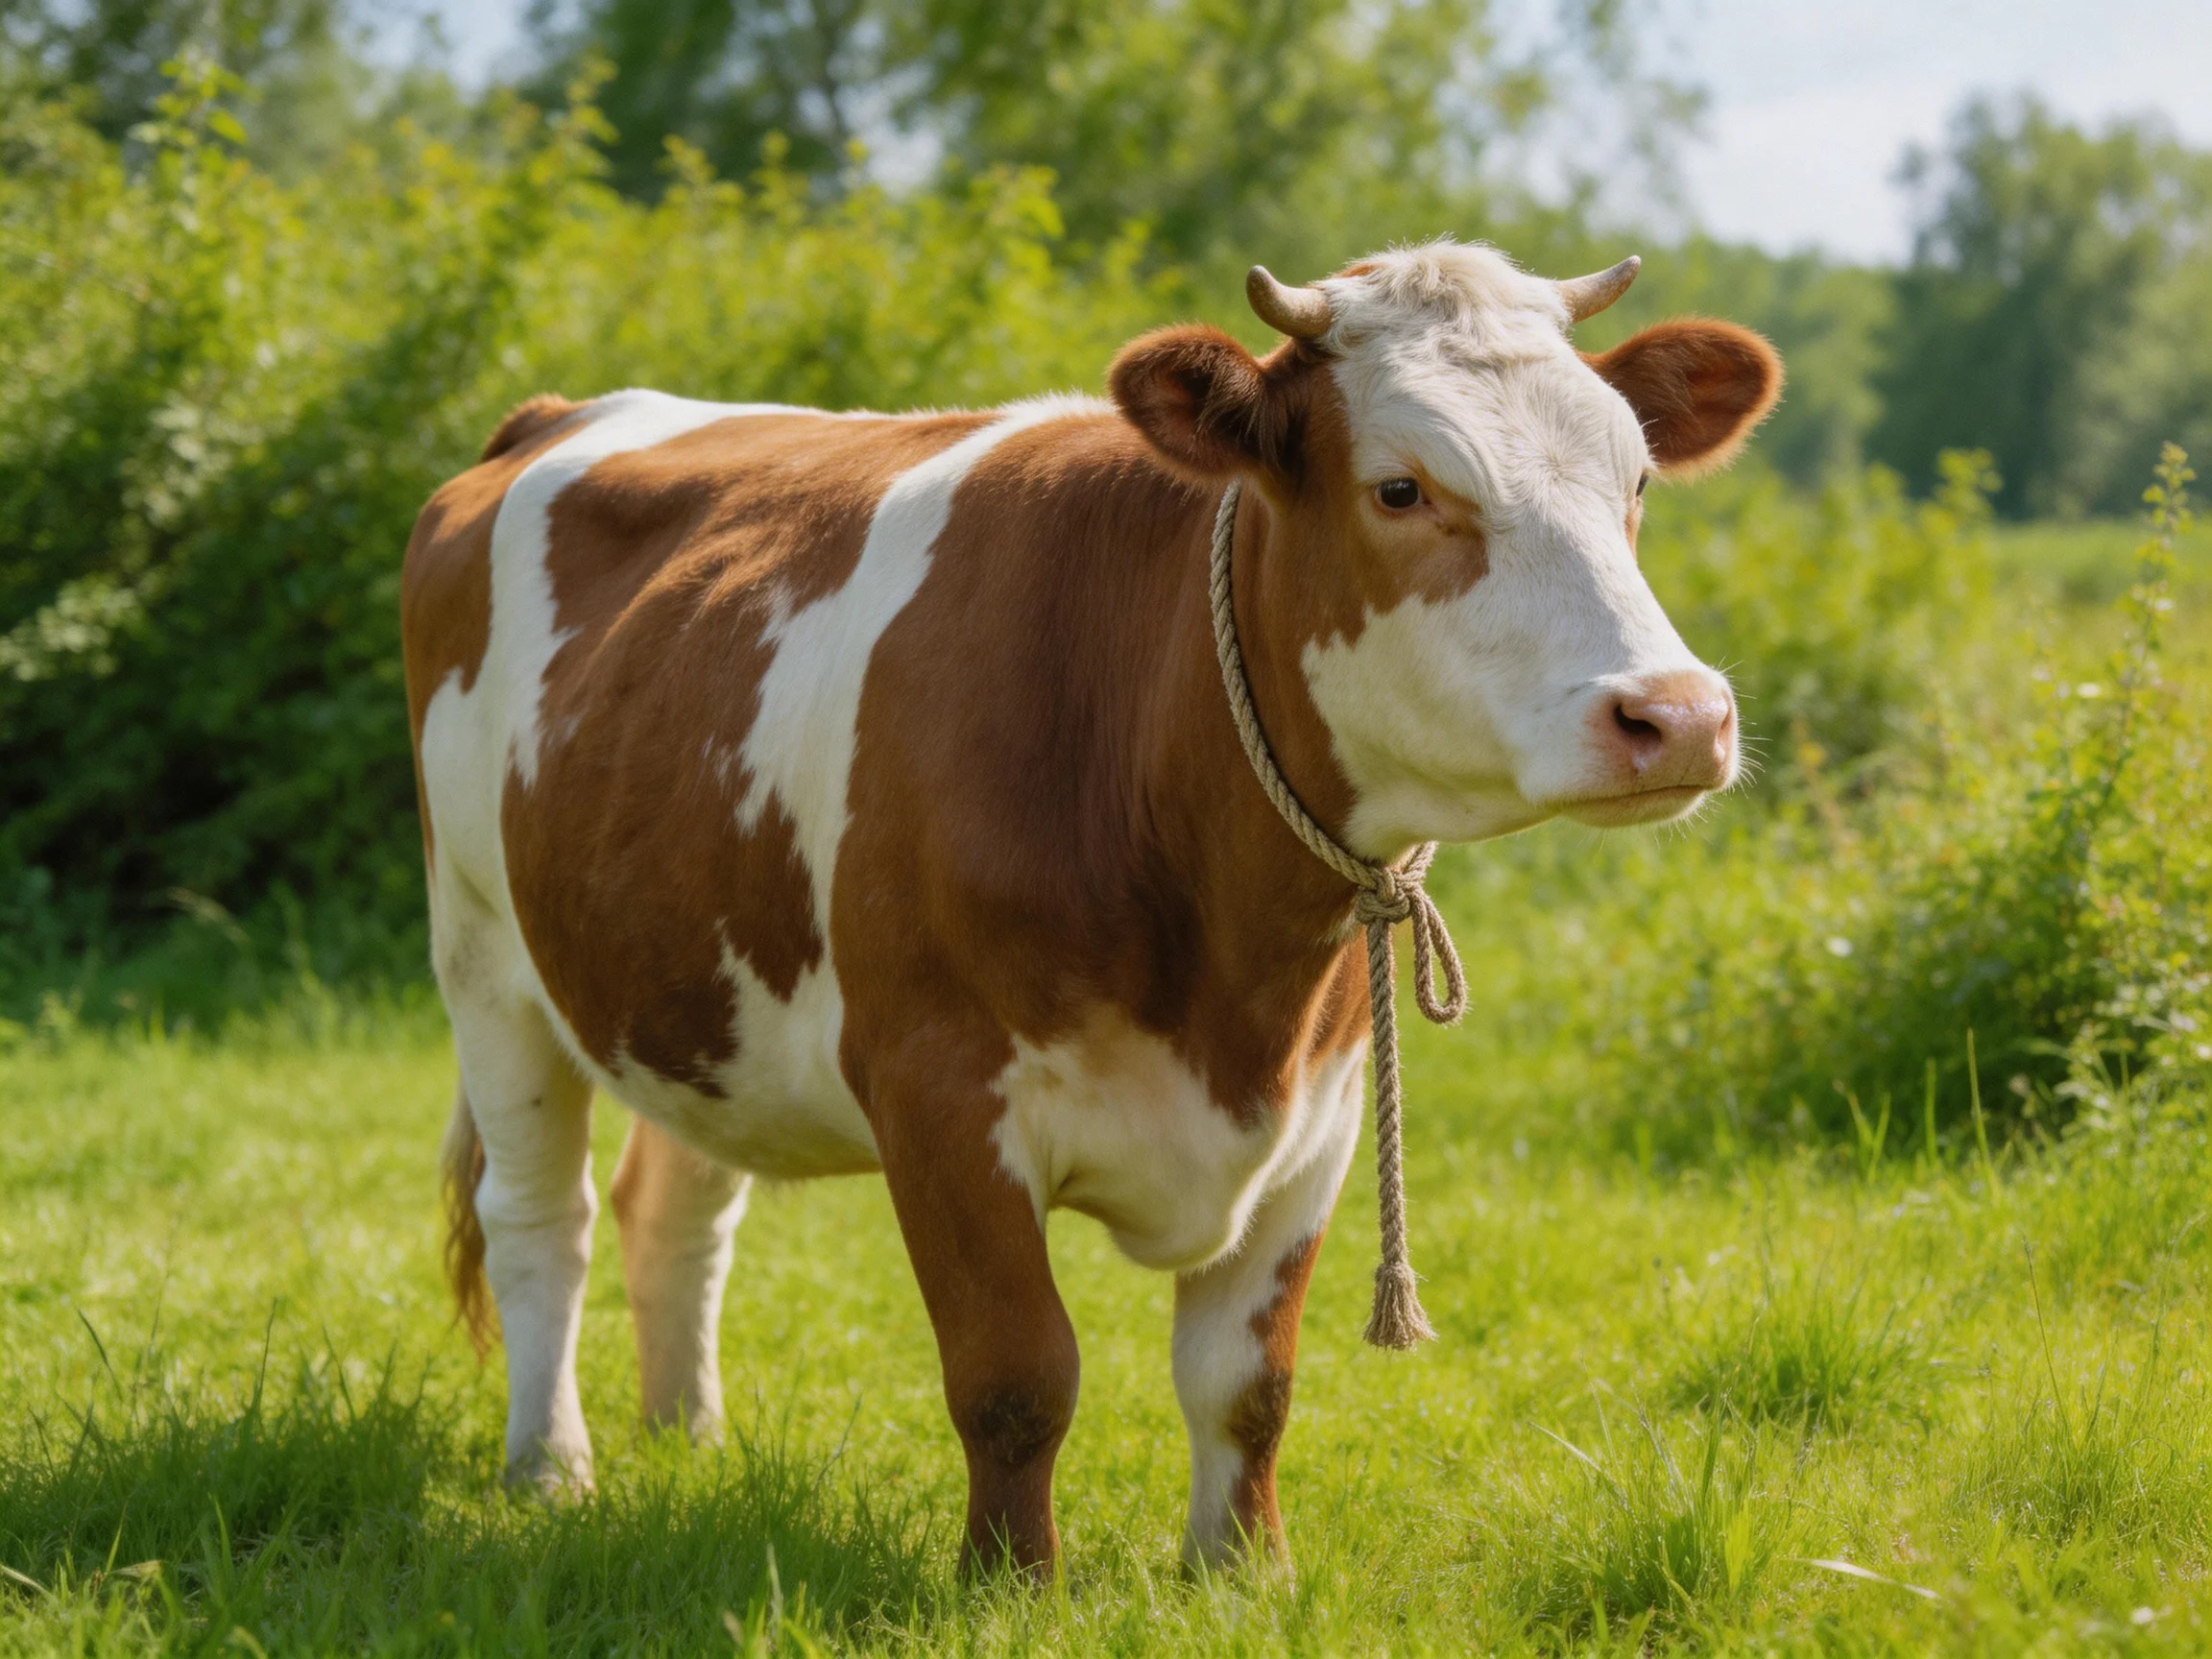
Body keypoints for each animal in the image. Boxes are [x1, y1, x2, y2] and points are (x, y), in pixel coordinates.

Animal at [401, 240, 1779, 1577]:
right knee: (541, 1219)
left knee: (677, 1206)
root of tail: (560, 414)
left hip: (700, 981)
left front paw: (1244, 1576)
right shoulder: (938, 1090)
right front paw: (1011, 1584)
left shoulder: (1321, 1118)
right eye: (1401, 489)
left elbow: (1246, 1383)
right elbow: (1018, 1374)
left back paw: (687, 1440)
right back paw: (551, 1468)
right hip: (484, 957)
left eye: (1636, 482)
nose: (1677, 715)